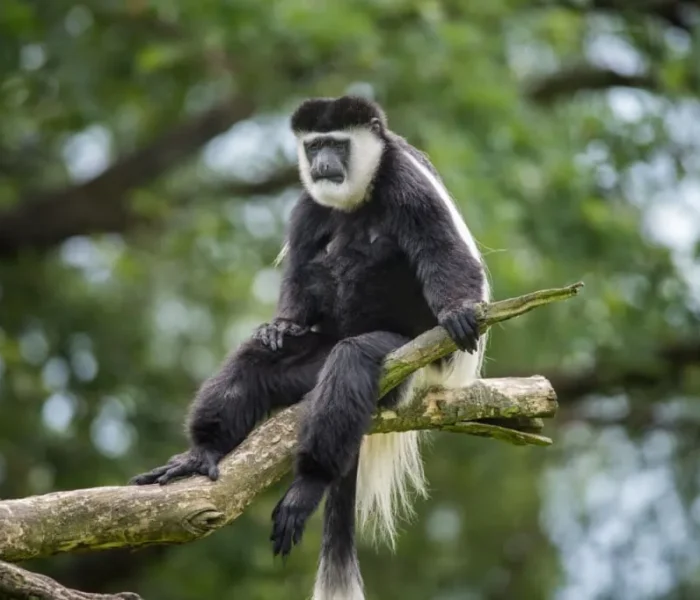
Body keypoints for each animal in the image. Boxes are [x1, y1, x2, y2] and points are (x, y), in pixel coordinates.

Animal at [131, 95, 489, 600]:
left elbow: (441, 250)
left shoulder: (406, 183)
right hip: (311, 363)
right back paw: (202, 453)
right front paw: (279, 325)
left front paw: (457, 311)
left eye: (337, 144)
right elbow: (300, 268)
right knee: (255, 361)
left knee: (352, 359)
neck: (358, 195)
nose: (322, 165)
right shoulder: (307, 203)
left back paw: (309, 483)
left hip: (404, 365)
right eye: (315, 145)